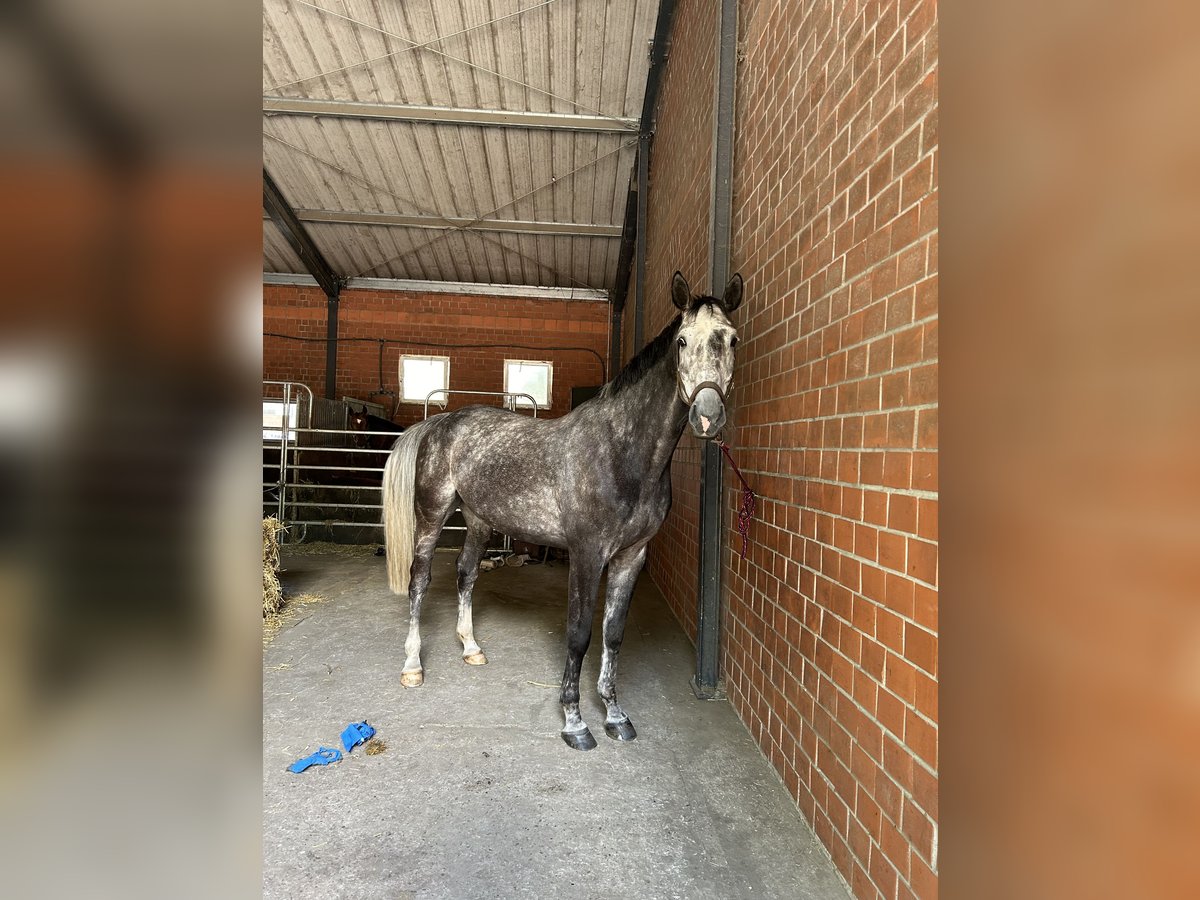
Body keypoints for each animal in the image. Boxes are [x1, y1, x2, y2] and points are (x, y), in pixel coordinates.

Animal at [381, 271, 739, 748]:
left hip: (479, 521)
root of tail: (440, 422)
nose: (707, 416)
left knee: (466, 573)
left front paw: (615, 716)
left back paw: (472, 648)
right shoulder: (587, 555)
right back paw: (412, 667)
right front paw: (575, 722)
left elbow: (613, 634)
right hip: (431, 515)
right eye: (682, 341)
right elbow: (580, 634)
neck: (621, 453)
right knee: (419, 581)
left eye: (732, 339)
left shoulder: (632, 556)